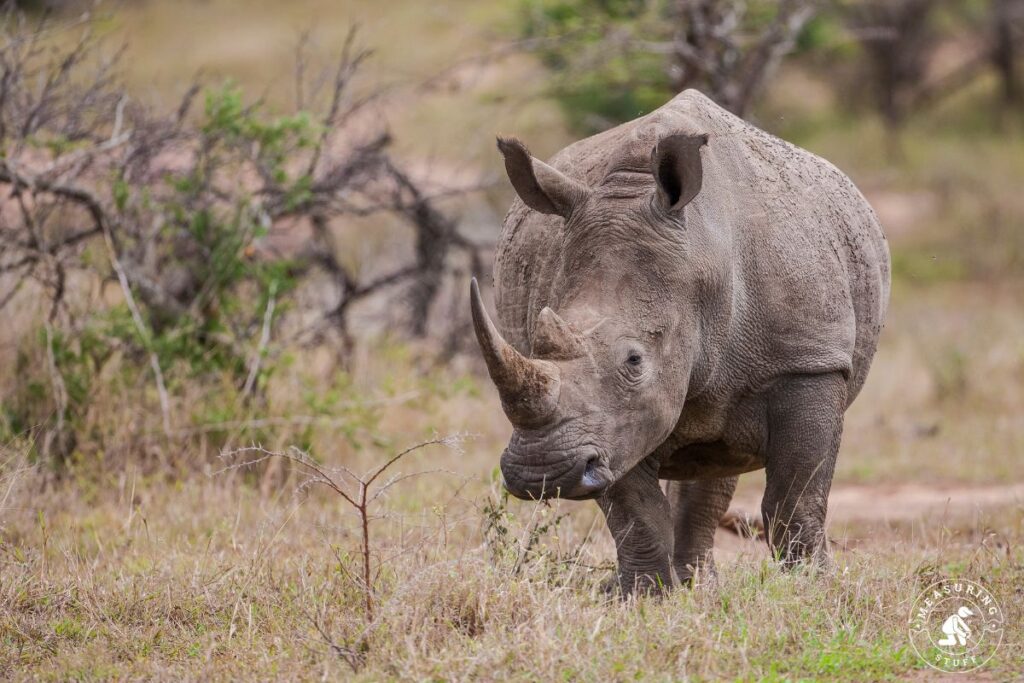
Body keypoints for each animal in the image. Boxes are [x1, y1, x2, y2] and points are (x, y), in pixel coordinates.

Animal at [470, 90, 890, 594]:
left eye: (635, 360)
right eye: (534, 343)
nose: (542, 473)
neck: (703, 261)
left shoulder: (809, 360)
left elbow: (797, 498)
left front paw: (812, 590)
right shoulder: (611, 422)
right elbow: (636, 514)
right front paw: (643, 597)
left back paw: (701, 586)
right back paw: (693, 587)